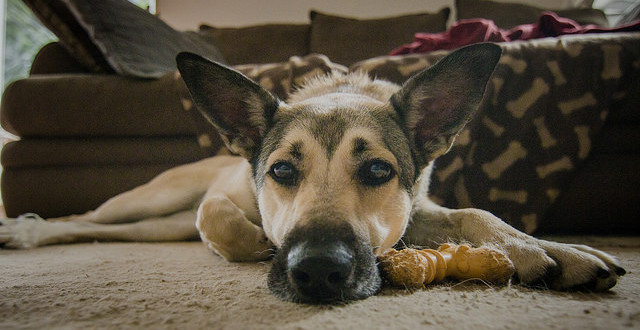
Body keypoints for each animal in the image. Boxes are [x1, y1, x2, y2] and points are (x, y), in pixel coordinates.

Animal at [0, 44, 624, 304]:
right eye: (280, 169)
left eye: (377, 169)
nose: (319, 272)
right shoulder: (227, 193)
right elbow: (218, 215)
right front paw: (252, 239)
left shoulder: (417, 210)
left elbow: (475, 213)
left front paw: (547, 249)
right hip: (154, 198)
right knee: (90, 215)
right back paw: (25, 230)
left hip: (157, 226)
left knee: (108, 230)